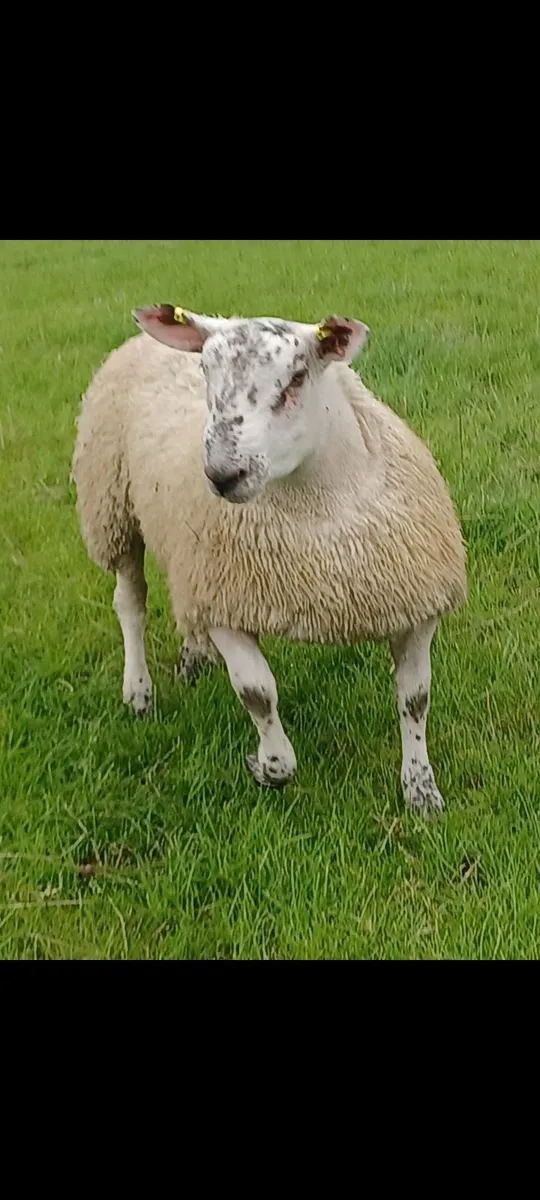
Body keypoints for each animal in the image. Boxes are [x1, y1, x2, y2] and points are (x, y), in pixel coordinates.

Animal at [72, 304, 467, 814]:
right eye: (205, 371)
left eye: (297, 377)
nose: (223, 475)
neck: (321, 510)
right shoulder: (229, 604)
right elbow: (258, 697)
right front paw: (265, 766)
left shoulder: (414, 606)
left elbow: (415, 700)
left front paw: (421, 791)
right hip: (113, 508)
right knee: (131, 603)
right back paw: (138, 690)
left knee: (182, 607)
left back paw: (193, 656)